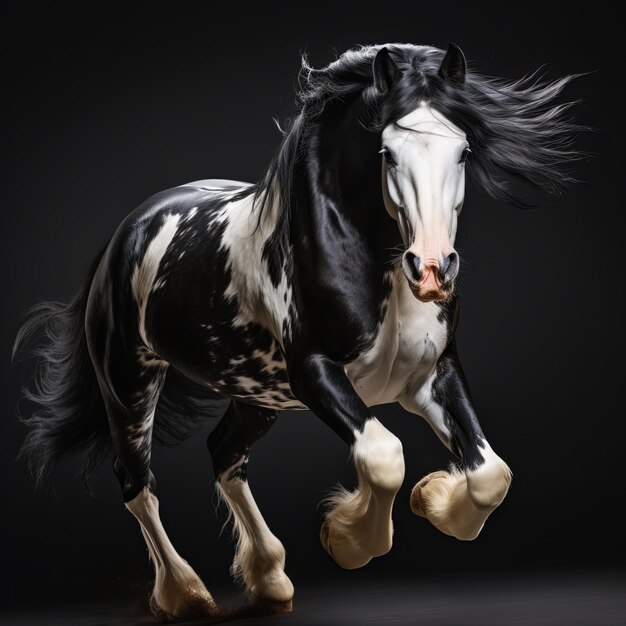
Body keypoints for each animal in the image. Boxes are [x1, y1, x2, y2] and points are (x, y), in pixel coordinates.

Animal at [14, 44, 576, 620]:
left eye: (462, 152)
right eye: (388, 152)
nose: (432, 270)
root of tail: (124, 235)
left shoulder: (432, 375)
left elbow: (490, 474)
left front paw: (434, 498)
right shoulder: (315, 374)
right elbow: (383, 457)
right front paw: (348, 540)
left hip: (256, 395)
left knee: (224, 455)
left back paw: (269, 578)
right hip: (129, 383)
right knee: (137, 484)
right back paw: (185, 594)